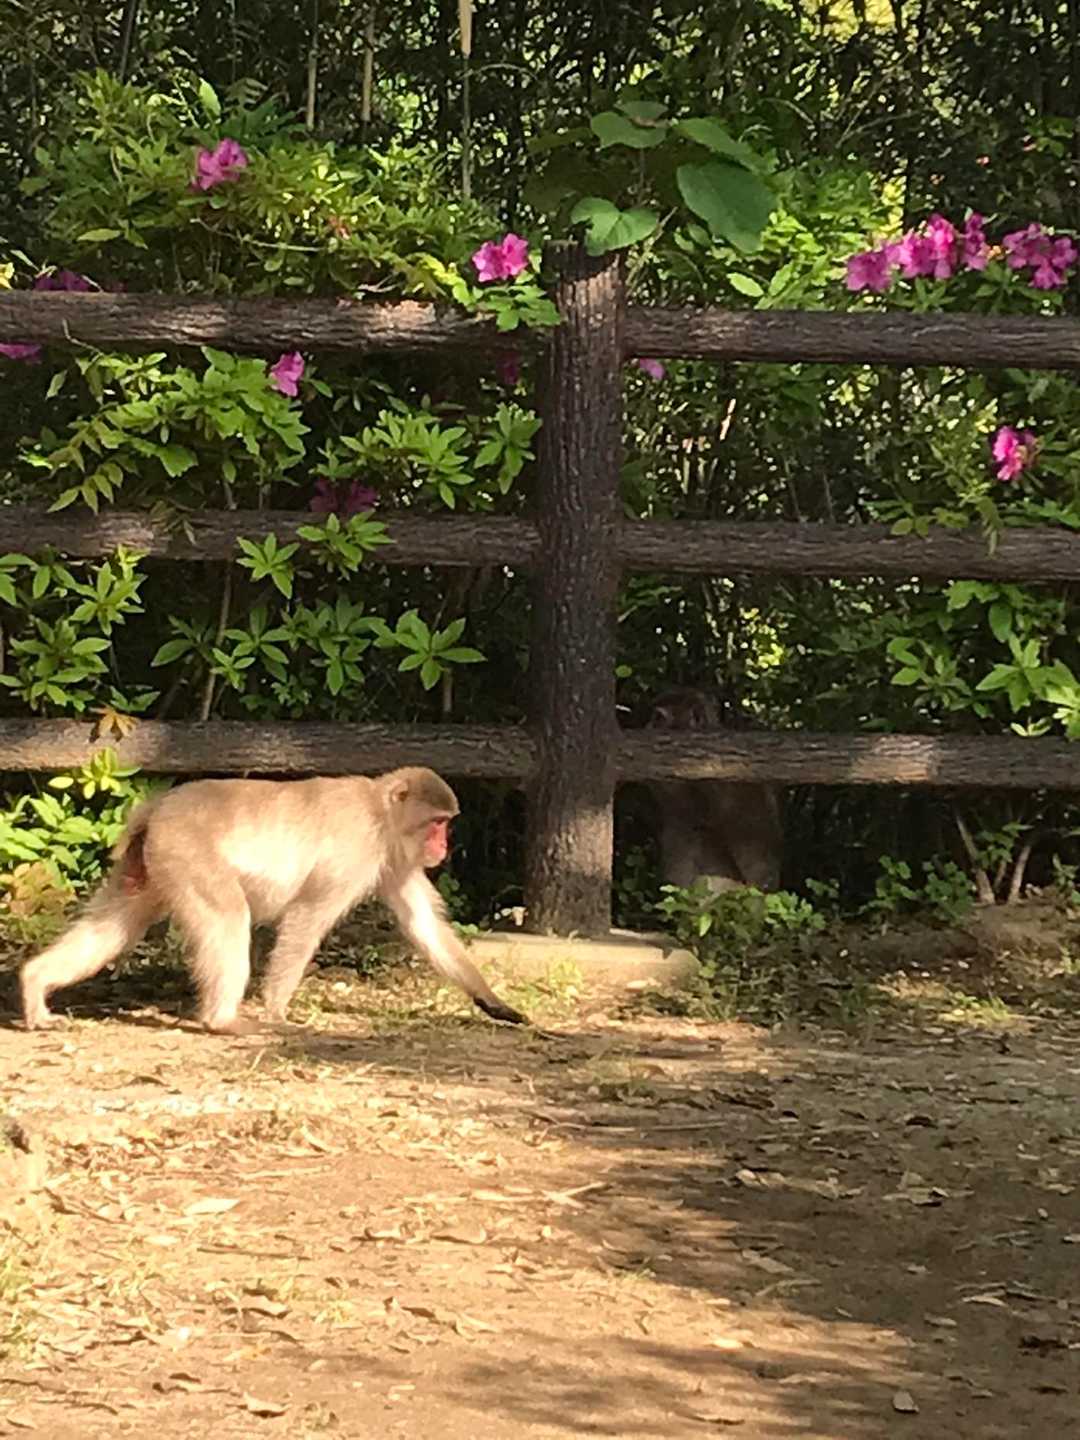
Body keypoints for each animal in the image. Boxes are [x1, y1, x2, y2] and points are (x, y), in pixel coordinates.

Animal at [19, 765, 527, 1033]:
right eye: (438, 823)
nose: (444, 846)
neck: (380, 814)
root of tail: (156, 808)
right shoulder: (357, 850)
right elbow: (307, 917)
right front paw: (277, 1010)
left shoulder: (394, 861)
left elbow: (423, 925)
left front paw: (493, 1002)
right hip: (187, 853)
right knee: (227, 918)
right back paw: (222, 1020)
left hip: (151, 867)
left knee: (113, 927)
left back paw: (34, 982)